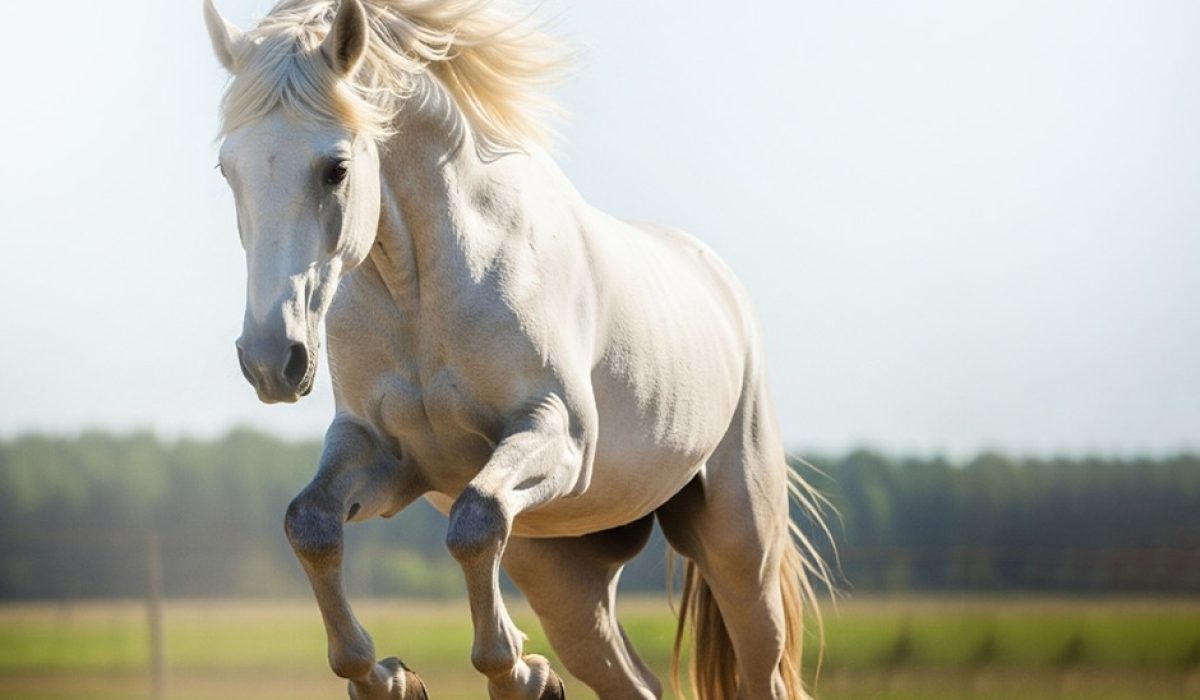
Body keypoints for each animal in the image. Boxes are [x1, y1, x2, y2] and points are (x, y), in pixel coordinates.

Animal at [203, 1, 831, 698]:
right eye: (227, 169)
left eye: (336, 167)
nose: (270, 360)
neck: (421, 292)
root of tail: (722, 287)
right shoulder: (384, 455)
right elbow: (310, 524)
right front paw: (389, 677)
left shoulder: (557, 435)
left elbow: (476, 521)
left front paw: (516, 673)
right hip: (565, 576)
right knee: (630, 678)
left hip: (739, 550)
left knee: (763, 668)